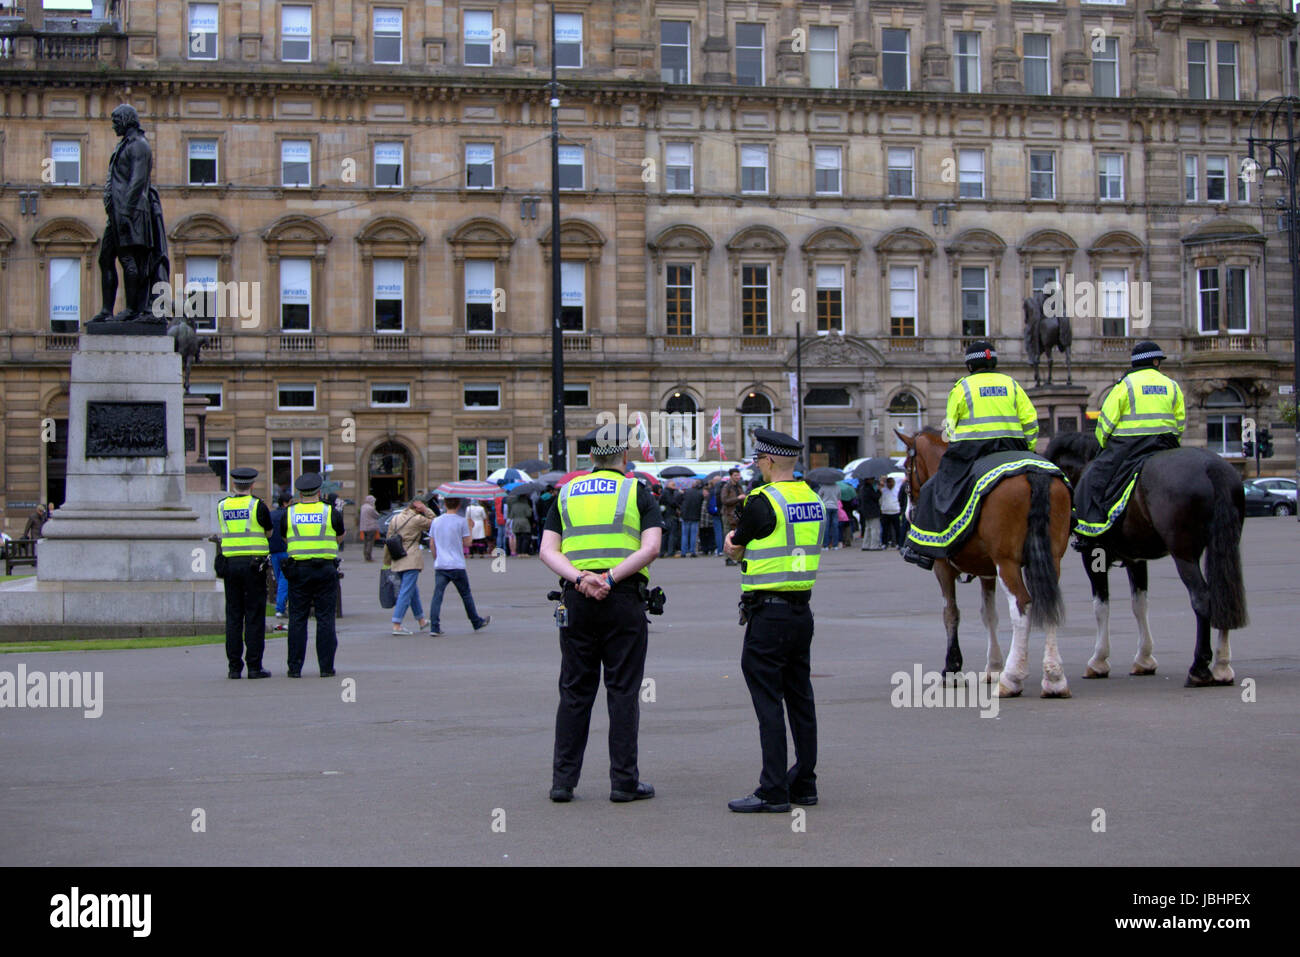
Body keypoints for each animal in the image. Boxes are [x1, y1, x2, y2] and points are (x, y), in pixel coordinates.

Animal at [899, 429, 1071, 696]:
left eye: (907, 466)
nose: (908, 513)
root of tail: (1033, 473)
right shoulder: (987, 572)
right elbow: (989, 614)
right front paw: (994, 667)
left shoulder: (943, 568)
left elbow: (951, 613)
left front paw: (952, 670)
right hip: (1051, 558)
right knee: (1048, 602)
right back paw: (1054, 679)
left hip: (1007, 563)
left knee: (1022, 606)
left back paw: (1012, 679)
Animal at [1040, 434, 1242, 686]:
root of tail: (1212, 467)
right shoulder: (1135, 560)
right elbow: (1140, 605)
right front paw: (1144, 659)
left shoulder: (1094, 556)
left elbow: (1101, 607)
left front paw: (1098, 660)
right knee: (1224, 594)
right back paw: (1222, 666)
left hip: (1184, 555)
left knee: (1202, 599)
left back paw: (1199, 668)